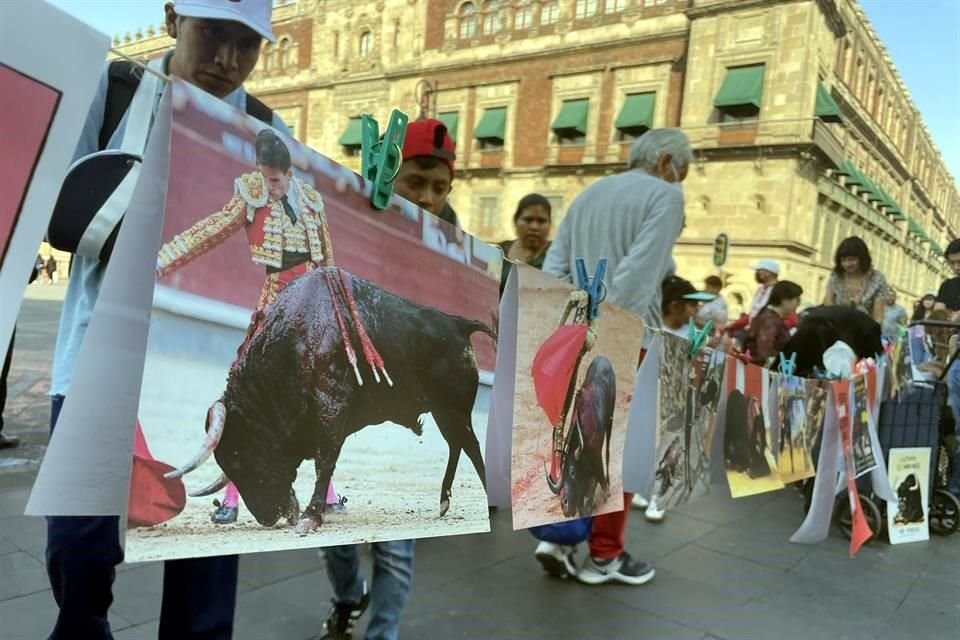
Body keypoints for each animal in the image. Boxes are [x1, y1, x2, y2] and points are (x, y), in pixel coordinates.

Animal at [186, 266, 496, 528]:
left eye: (238, 456)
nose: (266, 517)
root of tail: (458, 323)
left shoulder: (331, 405)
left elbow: (325, 461)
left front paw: (311, 516)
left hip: (454, 407)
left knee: (470, 444)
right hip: (443, 411)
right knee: (457, 444)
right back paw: (444, 501)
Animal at [556, 358, 616, 516]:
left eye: (572, 471)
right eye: (562, 472)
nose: (564, 505)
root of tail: (603, 359)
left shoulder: (596, 455)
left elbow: (598, 477)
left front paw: (606, 493)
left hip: (610, 418)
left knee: (608, 451)